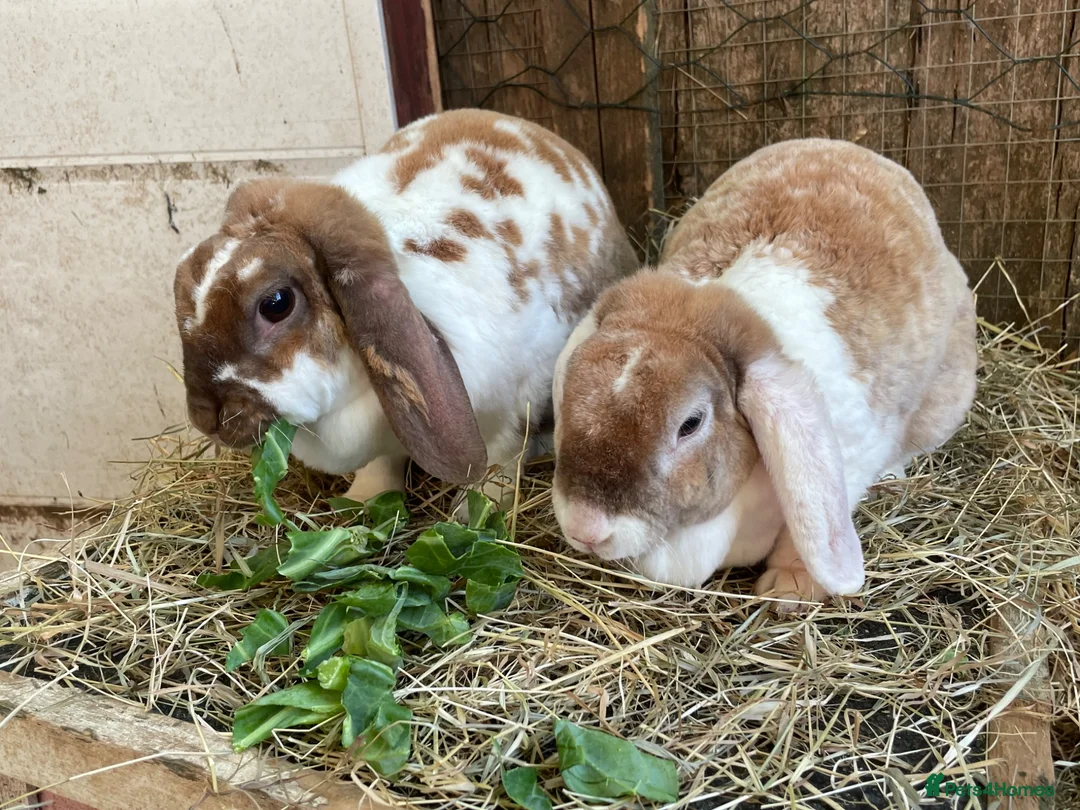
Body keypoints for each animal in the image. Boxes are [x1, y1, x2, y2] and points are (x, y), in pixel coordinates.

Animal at [173, 109, 638, 507]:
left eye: (276, 303)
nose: (205, 417)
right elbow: (382, 463)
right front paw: (364, 499)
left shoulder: (514, 405)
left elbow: (501, 461)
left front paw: (478, 509)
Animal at [550, 138, 977, 609]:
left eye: (691, 423)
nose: (586, 529)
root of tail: (851, 148)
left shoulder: (842, 466)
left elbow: (804, 534)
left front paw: (788, 591)